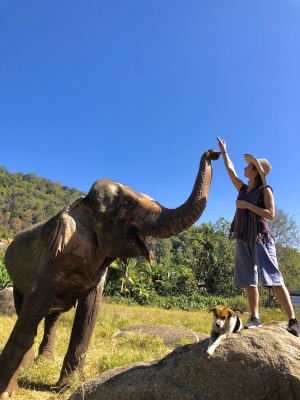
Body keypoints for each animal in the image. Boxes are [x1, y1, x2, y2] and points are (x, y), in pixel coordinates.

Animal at [0, 149, 220, 396]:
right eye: (128, 204)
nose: (213, 152)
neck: (81, 204)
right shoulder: (51, 257)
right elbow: (33, 309)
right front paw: (6, 393)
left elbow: (89, 313)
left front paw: (68, 388)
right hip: (17, 280)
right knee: (27, 309)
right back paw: (29, 366)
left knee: (52, 316)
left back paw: (45, 362)